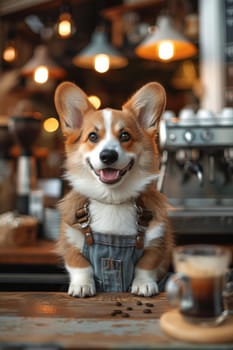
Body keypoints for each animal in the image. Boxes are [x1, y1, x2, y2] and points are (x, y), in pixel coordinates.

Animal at [54, 80, 173, 296]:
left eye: (125, 136)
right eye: (93, 136)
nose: (108, 156)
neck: (112, 200)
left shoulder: (158, 240)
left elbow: (146, 264)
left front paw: (144, 285)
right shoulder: (69, 238)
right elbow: (79, 264)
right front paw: (82, 286)